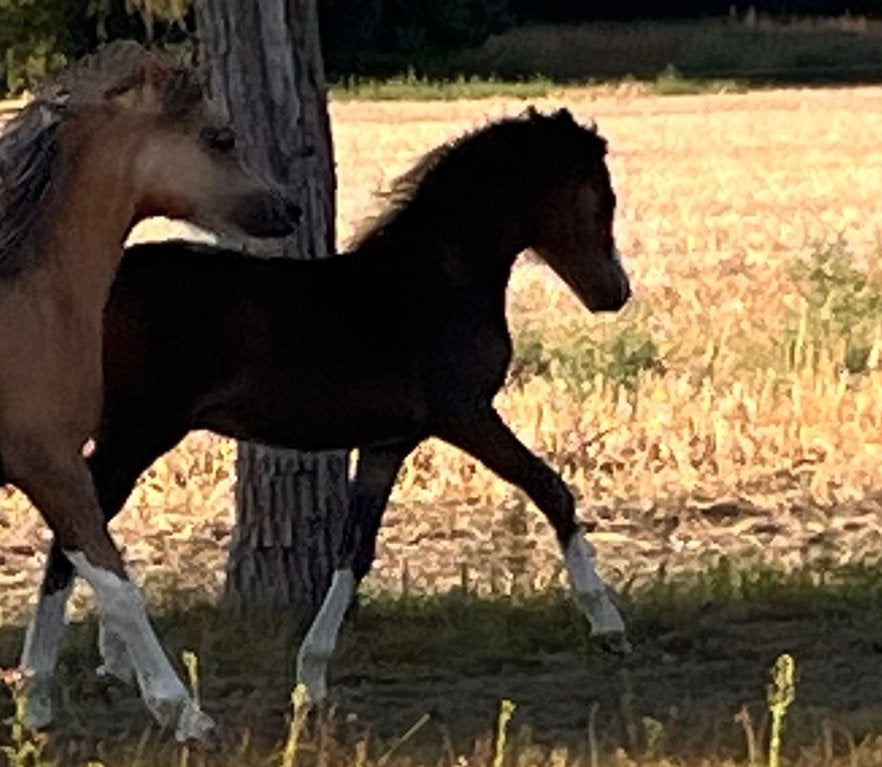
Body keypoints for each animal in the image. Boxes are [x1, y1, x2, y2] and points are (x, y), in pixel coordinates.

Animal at [0, 41, 299, 740]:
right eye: (221, 136)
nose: (287, 208)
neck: (32, 303)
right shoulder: (49, 463)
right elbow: (114, 583)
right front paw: (182, 712)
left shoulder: (54, 468)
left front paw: (36, 704)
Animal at [25, 108, 630, 711]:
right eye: (602, 197)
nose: (615, 292)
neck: (437, 280)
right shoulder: (466, 415)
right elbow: (552, 489)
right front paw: (609, 627)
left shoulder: (389, 442)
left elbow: (354, 548)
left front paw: (310, 678)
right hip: (139, 432)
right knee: (73, 534)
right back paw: (45, 689)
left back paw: (102, 665)